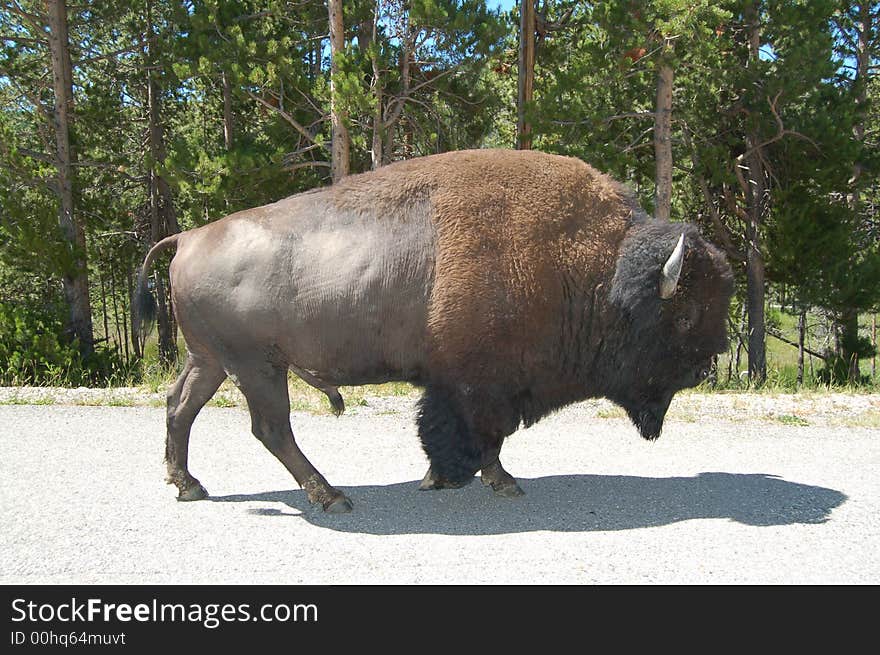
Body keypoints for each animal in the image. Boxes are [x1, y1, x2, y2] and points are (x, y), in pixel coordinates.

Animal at [134, 149, 732, 512]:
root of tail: (188, 237)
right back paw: (331, 496)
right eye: (684, 316)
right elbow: (480, 434)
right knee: (270, 428)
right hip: (256, 366)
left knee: (179, 407)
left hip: (212, 360)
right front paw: (491, 482)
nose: (708, 364)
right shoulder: (479, 383)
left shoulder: (467, 383)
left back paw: (189, 486)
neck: (594, 268)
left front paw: (444, 478)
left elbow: (467, 433)